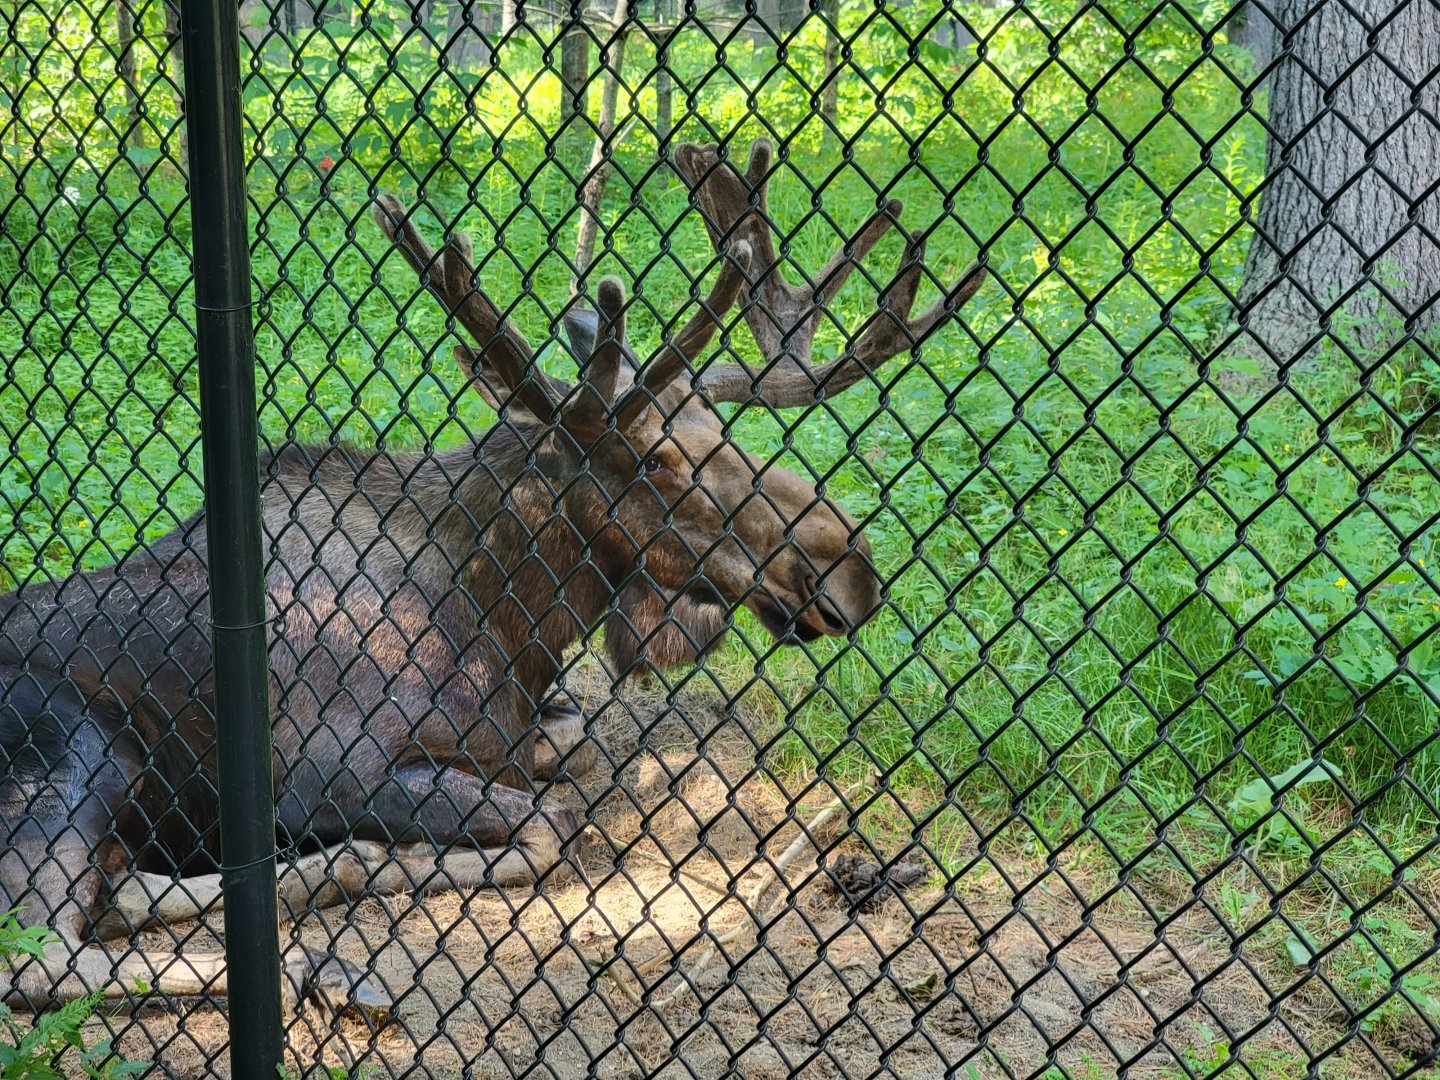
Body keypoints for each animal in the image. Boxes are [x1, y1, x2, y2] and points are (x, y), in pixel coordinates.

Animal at [0, 137, 986, 1018]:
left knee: (109, 905)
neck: (519, 623)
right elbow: (549, 826)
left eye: (727, 432)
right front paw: (378, 860)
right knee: (40, 964)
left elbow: (570, 739)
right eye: (658, 460)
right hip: (76, 747)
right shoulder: (326, 769)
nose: (854, 571)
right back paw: (326, 960)